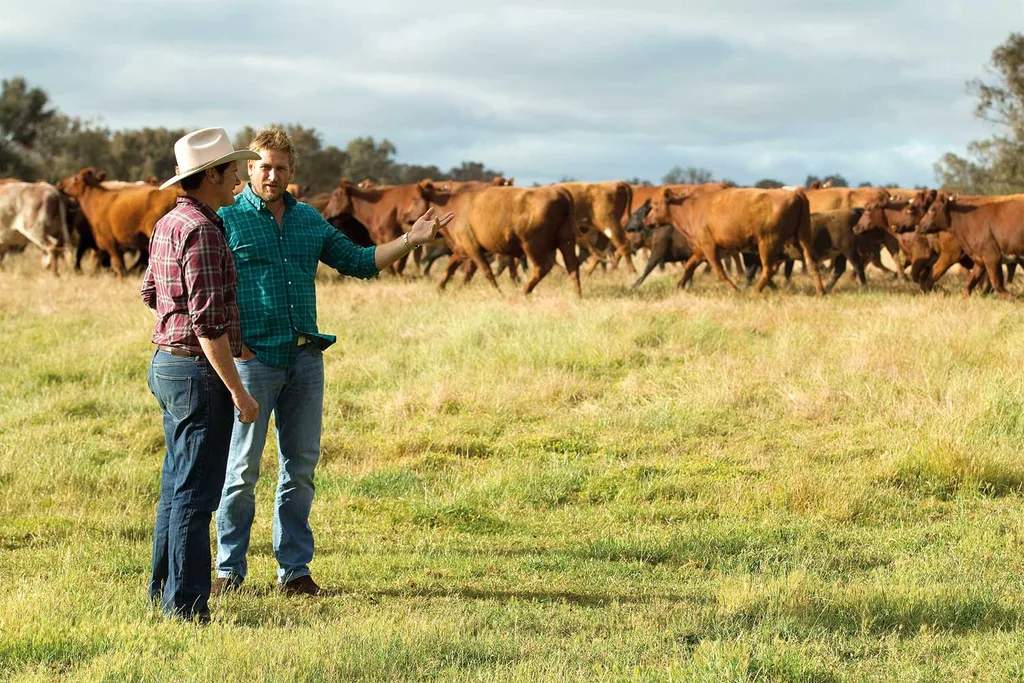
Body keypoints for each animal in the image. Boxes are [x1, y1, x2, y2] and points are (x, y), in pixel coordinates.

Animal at [413, 181, 577, 296]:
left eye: (415, 199)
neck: (451, 205)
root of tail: (558, 190)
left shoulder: (472, 247)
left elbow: (485, 270)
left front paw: (499, 293)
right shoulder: (461, 249)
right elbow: (451, 269)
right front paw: (442, 289)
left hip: (532, 245)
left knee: (543, 267)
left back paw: (524, 292)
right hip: (566, 241)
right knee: (572, 267)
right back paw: (578, 296)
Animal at [643, 187, 819, 294]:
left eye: (656, 205)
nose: (646, 220)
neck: (689, 208)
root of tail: (795, 192)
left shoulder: (709, 246)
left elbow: (719, 271)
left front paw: (735, 290)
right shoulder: (703, 250)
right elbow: (689, 266)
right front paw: (680, 285)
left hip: (767, 242)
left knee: (769, 269)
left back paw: (754, 292)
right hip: (803, 239)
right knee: (811, 265)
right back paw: (821, 291)